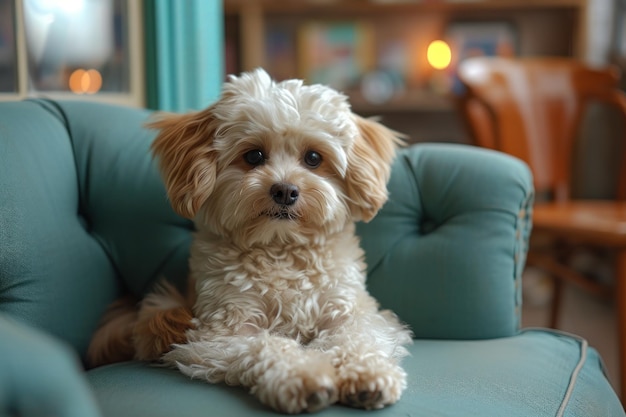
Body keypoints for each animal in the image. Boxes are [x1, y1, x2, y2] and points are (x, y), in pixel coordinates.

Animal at [89, 69, 410, 412]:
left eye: (313, 158)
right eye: (254, 155)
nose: (285, 190)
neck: (280, 249)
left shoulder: (352, 312)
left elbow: (357, 339)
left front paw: (368, 374)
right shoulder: (221, 333)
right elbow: (268, 346)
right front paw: (303, 376)